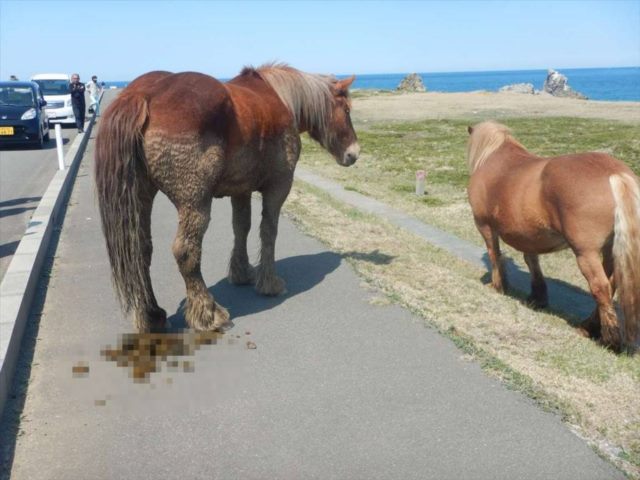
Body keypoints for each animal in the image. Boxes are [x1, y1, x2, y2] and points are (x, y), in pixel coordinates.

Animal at [95, 64, 359, 332]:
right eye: (347, 109)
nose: (354, 153)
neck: (281, 98)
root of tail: (143, 94)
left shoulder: (241, 190)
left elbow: (241, 227)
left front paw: (241, 273)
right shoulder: (278, 187)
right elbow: (268, 231)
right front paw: (270, 283)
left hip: (142, 196)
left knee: (139, 251)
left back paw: (152, 315)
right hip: (195, 203)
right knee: (186, 252)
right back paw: (208, 313)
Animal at [466, 121, 640, 352]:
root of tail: (617, 173)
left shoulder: (485, 226)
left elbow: (495, 255)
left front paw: (498, 286)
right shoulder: (528, 235)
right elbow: (532, 262)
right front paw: (537, 298)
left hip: (586, 253)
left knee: (600, 287)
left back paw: (608, 339)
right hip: (610, 250)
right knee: (612, 284)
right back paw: (589, 327)